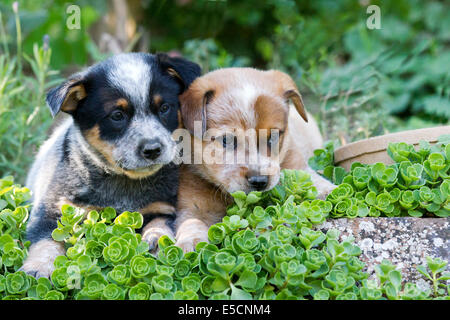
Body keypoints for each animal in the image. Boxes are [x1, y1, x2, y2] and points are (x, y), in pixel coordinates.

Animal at [22, 52, 201, 278]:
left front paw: (155, 237)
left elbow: (160, 222)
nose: (153, 149)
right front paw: (37, 267)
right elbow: (45, 241)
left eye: (164, 108)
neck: (123, 186)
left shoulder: (163, 206)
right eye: (117, 115)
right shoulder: (53, 208)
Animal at [173, 68, 338, 252]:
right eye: (227, 140)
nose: (259, 181)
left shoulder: (295, 163)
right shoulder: (192, 204)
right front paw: (191, 241)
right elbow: (191, 221)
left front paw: (330, 191)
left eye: (273, 137)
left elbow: (311, 179)